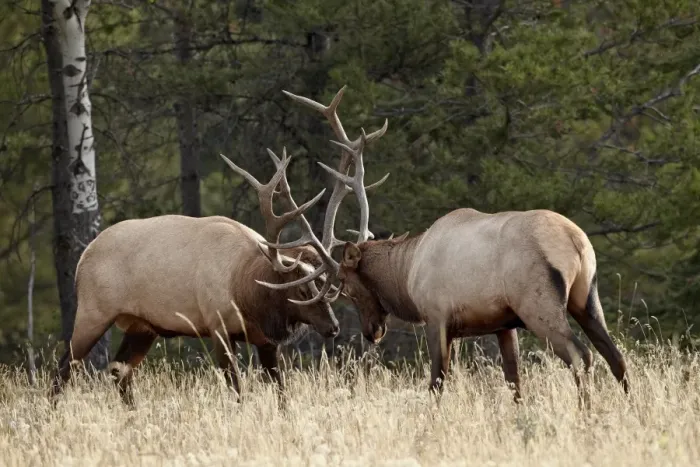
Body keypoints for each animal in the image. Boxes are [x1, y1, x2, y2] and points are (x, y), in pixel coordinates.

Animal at [48, 149, 352, 408]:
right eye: (301, 290)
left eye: (326, 288)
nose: (334, 326)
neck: (246, 292)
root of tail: (82, 259)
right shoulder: (217, 326)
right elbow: (236, 388)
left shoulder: (265, 340)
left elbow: (281, 391)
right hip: (93, 312)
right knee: (63, 368)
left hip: (141, 326)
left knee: (118, 371)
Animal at [267, 85, 630, 404]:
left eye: (347, 285)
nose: (372, 333)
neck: (406, 273)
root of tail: (576, 242)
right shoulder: (503, 324)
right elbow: (514, 381)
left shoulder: (437, 316)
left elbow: (436, 382)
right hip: (586, 297)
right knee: (616, 358)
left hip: (538, 303)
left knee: (581, 355)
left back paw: (587, 414)